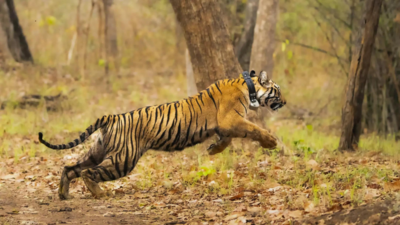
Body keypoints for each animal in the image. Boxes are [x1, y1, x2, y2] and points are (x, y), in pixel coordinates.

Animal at [38, 70, 284, 199]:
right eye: (278, 91)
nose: (285, 102)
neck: (249, 87)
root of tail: (113, 117)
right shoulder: (230, 120)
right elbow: (253, 129)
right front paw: (271, 142)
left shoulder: (225, 125)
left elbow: (228, 139)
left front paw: (213, 150)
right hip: (122, 159)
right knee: (88, 172)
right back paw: (99, 193)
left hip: (97, 151)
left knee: (70, 168)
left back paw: (63, 194)